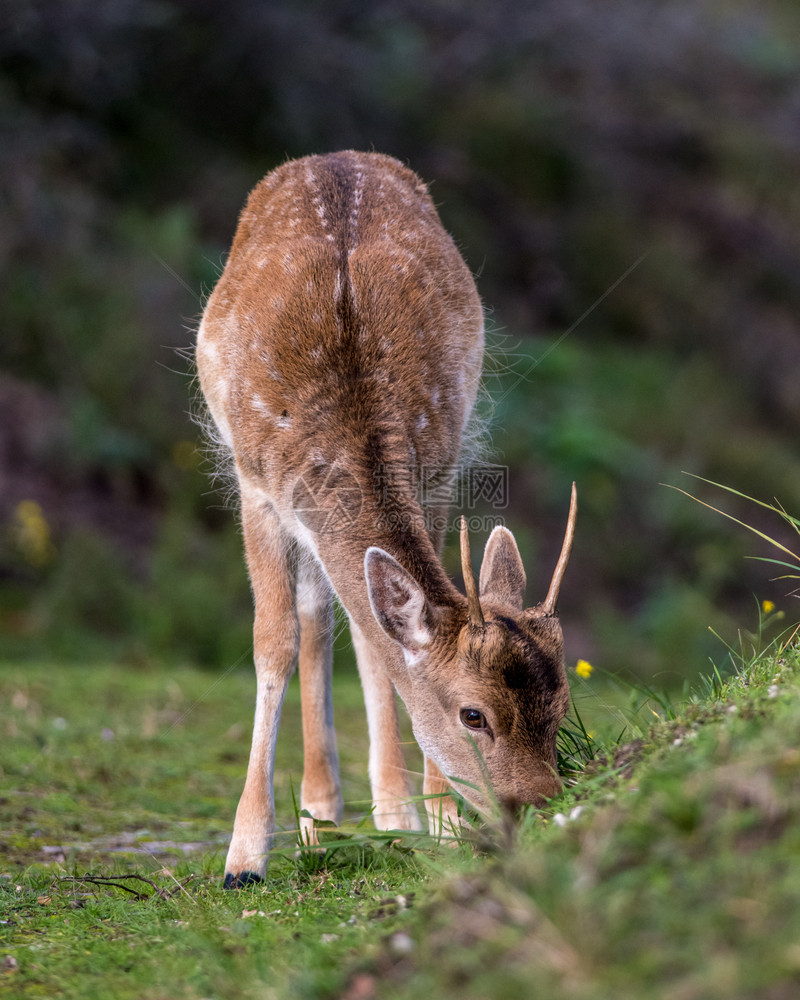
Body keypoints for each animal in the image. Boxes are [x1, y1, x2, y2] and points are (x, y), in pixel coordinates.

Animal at [197, 148, 580, 884]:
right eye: (473, 715)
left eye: (560, 704)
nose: (541, 804)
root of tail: (333, 156)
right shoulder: (257, 488)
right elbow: (273, 642)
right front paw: (244, 856)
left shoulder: (435, 472)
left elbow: (381, 640)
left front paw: (436, 823)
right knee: (316, 618)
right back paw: (320, 814)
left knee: (346, 617)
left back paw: (361, 813)